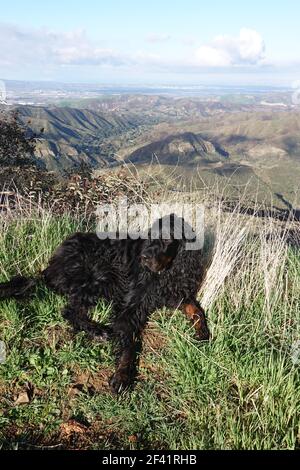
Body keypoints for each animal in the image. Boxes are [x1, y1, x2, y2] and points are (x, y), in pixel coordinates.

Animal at [0, 214, 209, 392]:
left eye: (166, 239)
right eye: (150, 236)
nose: (144, 257)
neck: (166, 271)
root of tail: (52, 265)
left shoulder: (175, 291)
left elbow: (196, 309)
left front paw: (203, 333)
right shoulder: (130, 307)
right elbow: (130, 343)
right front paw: (122, 376)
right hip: (101, 275)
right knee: (70, 310)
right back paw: (99, 331)